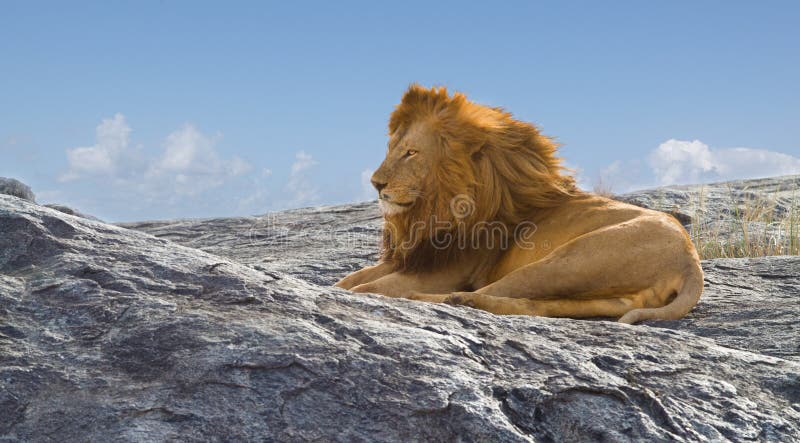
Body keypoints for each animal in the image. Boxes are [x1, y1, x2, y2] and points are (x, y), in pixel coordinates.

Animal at [334, 85, 704, 324]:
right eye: (390, 149)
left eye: (411, 152)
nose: (376, 183)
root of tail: (691, 261)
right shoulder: (418, 258)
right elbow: (352, 278)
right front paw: (335, 287)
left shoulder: (445, 270)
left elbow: (371, 286)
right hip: (601, 290)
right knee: (537, 305)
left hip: (571, 259)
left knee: (505, 291)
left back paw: (447, 299)